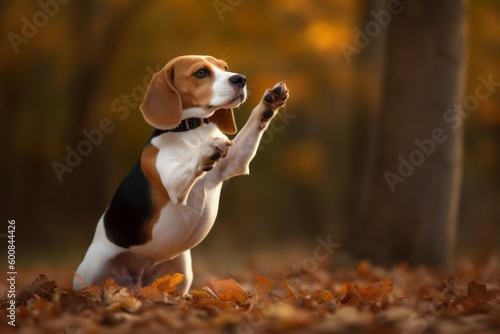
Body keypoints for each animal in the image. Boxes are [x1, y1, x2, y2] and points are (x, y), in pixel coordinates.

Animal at [73, 54, 290, 294]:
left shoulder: (235, 162)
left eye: (225, 67)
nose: (240, 79)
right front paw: (207, 148)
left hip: (183, 272)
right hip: (92, 270)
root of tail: (136, 283)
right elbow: (189, 162)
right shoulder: (173, 184)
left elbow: (251, 127)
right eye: (201, 73)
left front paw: (269, 103)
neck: (190, 129)